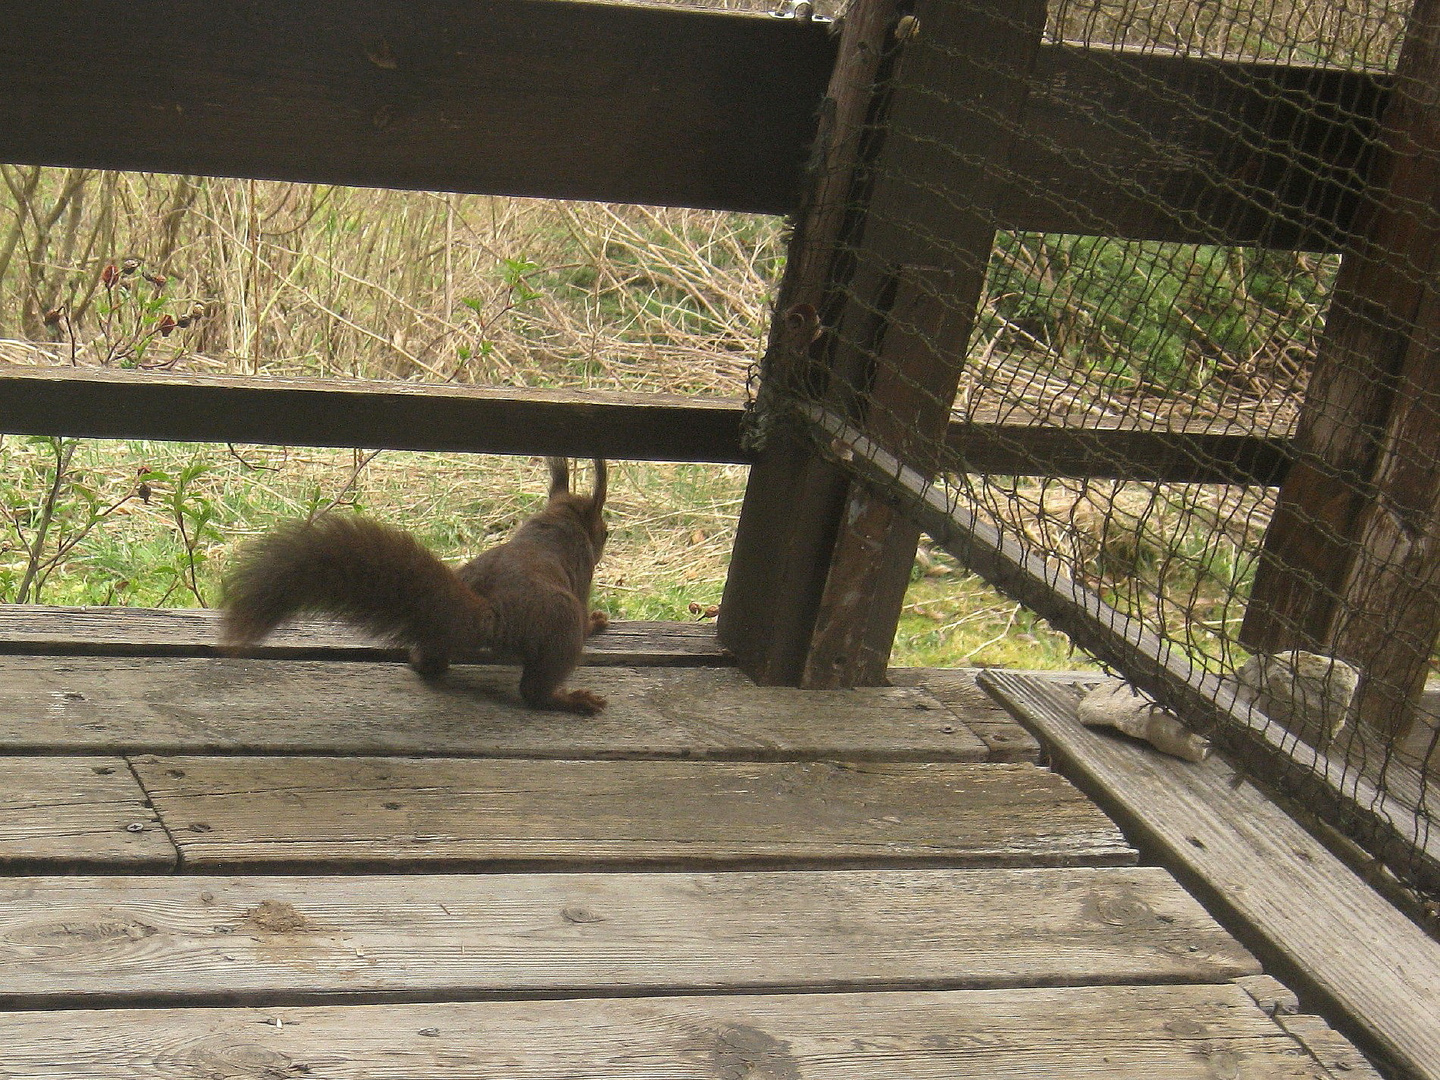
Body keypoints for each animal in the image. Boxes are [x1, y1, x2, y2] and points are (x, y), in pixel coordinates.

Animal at [218, 460, 607, 714]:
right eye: (605, 532)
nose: (605, 536)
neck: (557, 521)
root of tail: (493, 613)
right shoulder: (581, 572)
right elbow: (585, 603)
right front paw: (594, 622)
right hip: (561, 625)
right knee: (533, 691)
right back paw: (570, 700)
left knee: (434, 656)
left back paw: (422, 660)